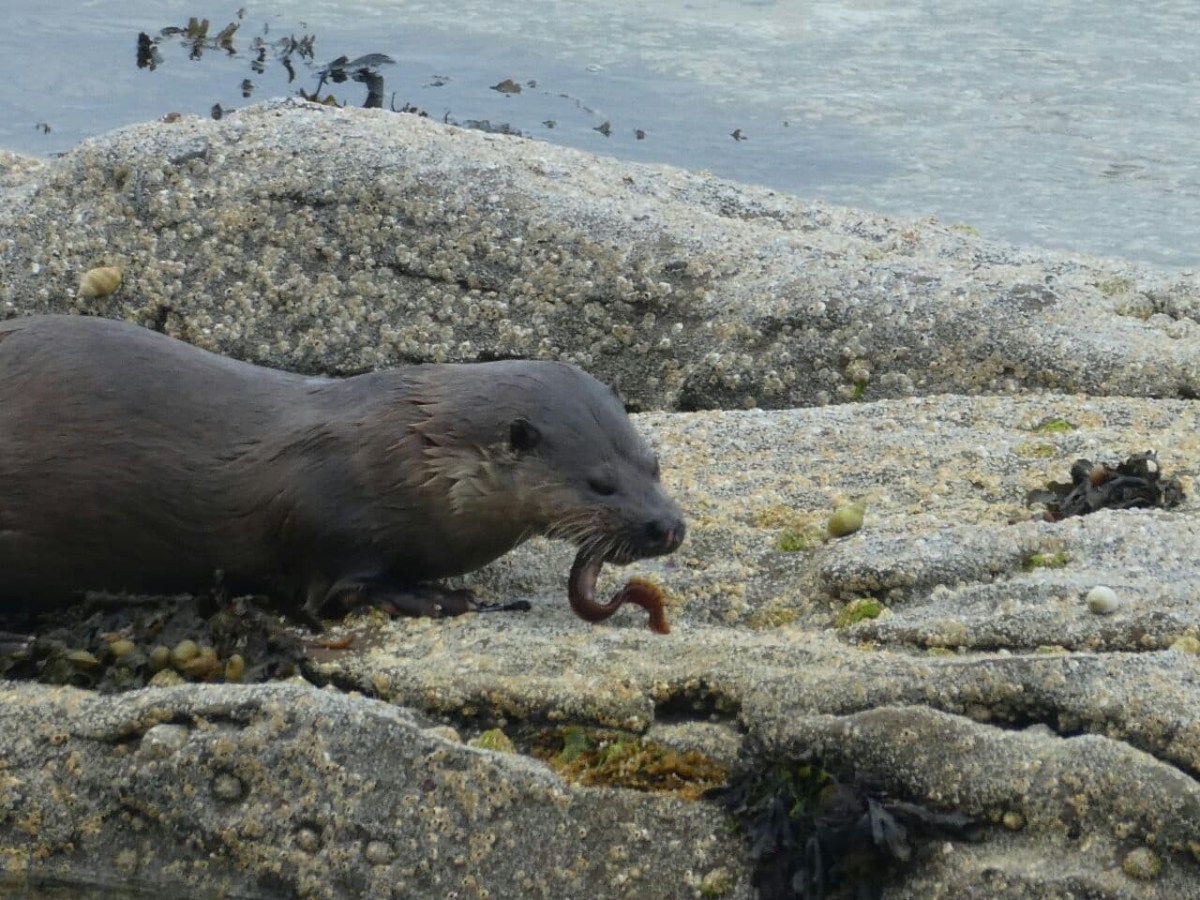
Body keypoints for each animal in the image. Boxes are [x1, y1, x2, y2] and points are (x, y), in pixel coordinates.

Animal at [0, 315, 685, 624]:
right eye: (600, 483)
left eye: (653, 463)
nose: (667, 526)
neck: (410, 458)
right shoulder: (332, 529)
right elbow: (339, 591)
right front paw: (445, 595)